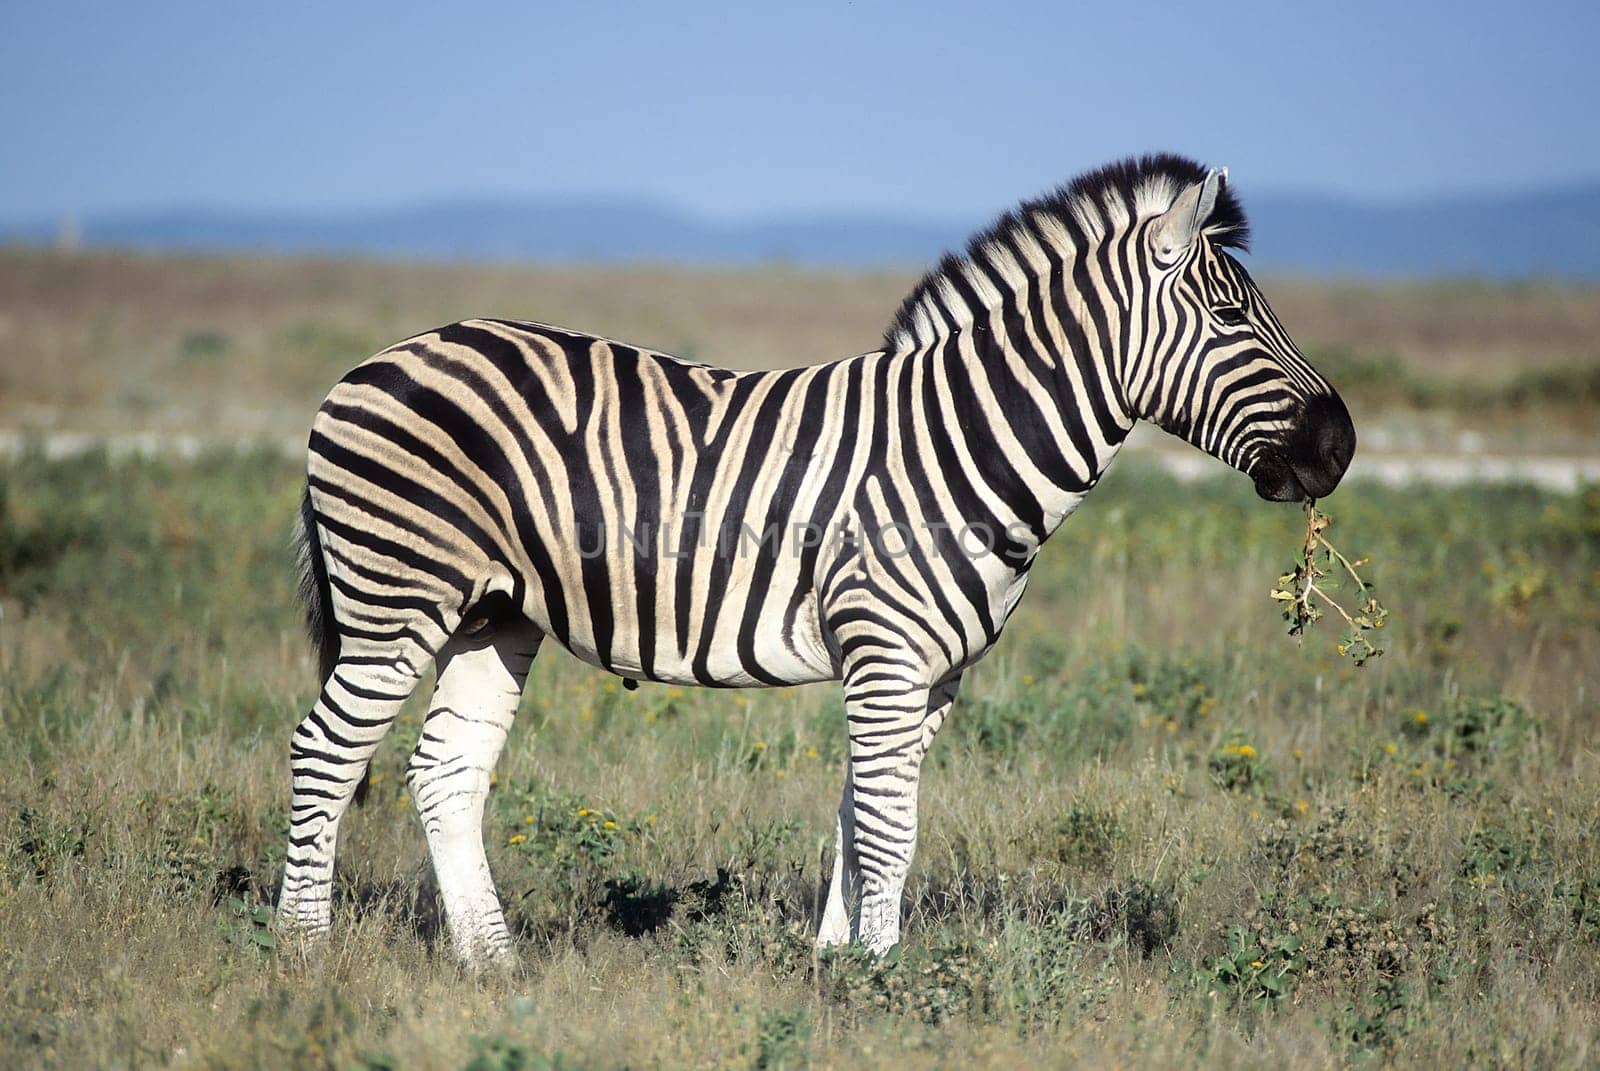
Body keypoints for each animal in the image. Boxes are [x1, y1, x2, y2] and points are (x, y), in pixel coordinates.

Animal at [275, 154, 1350, 966]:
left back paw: (493, 963)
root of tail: (368, 363)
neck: (962, 444)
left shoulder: (931, 674)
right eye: (1229, 319)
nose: (1339, 446)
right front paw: (883, 974)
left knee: (444, 770)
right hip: (396, 595)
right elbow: (888, 823)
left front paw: (835, 957)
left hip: (493, 612)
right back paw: (302, 951)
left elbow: (859, 810)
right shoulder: (885, 650)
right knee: (325, 750)